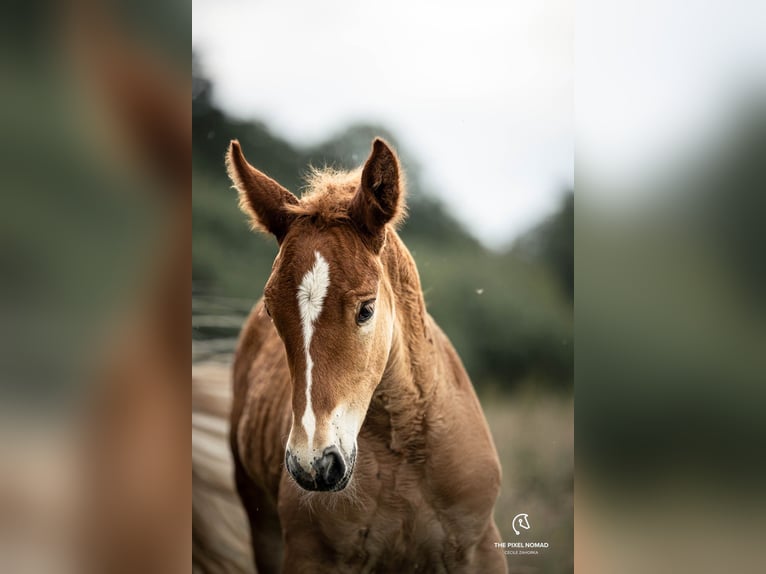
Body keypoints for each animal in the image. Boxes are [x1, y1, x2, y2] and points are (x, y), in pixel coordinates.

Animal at [225, 137, 508, 572]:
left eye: (366, 309)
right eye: (272, 312)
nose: (314, 464)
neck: (404, 449)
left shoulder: (478, 548)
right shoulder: (309, 554)